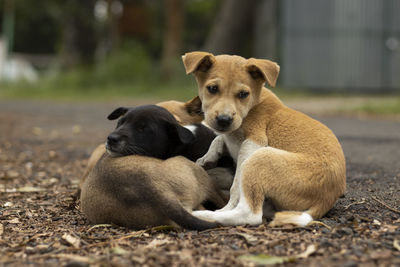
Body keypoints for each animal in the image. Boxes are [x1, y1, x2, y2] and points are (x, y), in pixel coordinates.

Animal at [79, 104, 227, 230]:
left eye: (142, 129)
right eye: (119, 123)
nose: (111, 138)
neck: (178, 144)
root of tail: (159, 194)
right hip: (198, 173)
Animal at [183, 52, 346, 228]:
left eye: (243, 94)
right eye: (212, 89)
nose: (224, 120)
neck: (253, 104)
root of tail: (326, 199)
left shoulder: (253, 143)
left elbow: (236, 185)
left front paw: (226, 205)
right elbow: (219, 138)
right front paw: (207, 158)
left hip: (261, 158)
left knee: (251, 214)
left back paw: (207, 215)